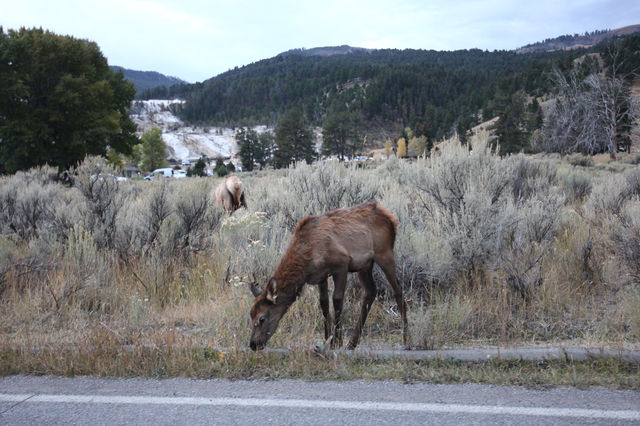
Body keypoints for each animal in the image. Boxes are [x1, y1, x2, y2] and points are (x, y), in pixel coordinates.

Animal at [248, 201, 408, 352]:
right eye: (250, 314)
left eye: (262, 318)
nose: (253, 344)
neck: (307, 260)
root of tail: (392, 218)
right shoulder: (321, 276)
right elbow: (324, 303)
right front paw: (327, 340)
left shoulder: (342, 265)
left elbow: (337, 300)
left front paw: (337, 341)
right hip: (365, 265)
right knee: (370, 292)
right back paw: (352, 343)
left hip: (384, 253)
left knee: (398, 289)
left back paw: (407, 339)